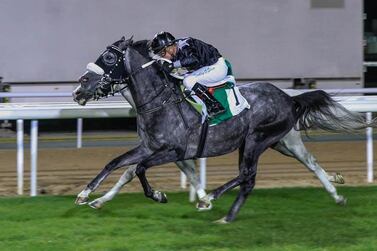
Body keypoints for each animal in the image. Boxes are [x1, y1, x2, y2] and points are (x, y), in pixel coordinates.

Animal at [73, 36, 370, 222]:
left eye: (108, 57)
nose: (78, 88)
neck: (159, 102)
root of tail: (289, 98)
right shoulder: (149, 147)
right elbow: (118, 164)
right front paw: (88, 195)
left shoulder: (174, 151)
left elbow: (139, 169)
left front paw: (160, 195)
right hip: (283, 142)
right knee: (310, 162)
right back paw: (337, 192)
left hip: (256, 141)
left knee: (248, 174)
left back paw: (215, 200)